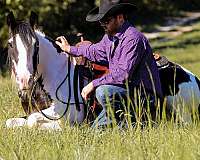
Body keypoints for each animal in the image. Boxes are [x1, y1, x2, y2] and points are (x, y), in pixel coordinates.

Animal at [5, 12, 200, 130]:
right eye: (10, 44)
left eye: (36, 44)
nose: (24, 80)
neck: (55, 76)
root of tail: (193, 78)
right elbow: (13, 121)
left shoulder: (70, 115)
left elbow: (36, 122)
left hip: (179, 110)